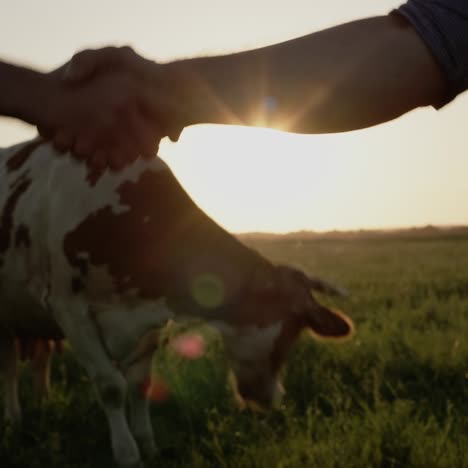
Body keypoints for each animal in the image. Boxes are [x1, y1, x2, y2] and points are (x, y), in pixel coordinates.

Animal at [0, 137, 352, 466]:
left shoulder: (149, 316)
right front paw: (127, 453)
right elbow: (111, 386)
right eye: (289, 336)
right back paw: (13, 420)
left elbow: (140, 384)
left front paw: (148, 444)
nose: (273, 399)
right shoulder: (69, 309)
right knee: (10, 368)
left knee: (32, 359)